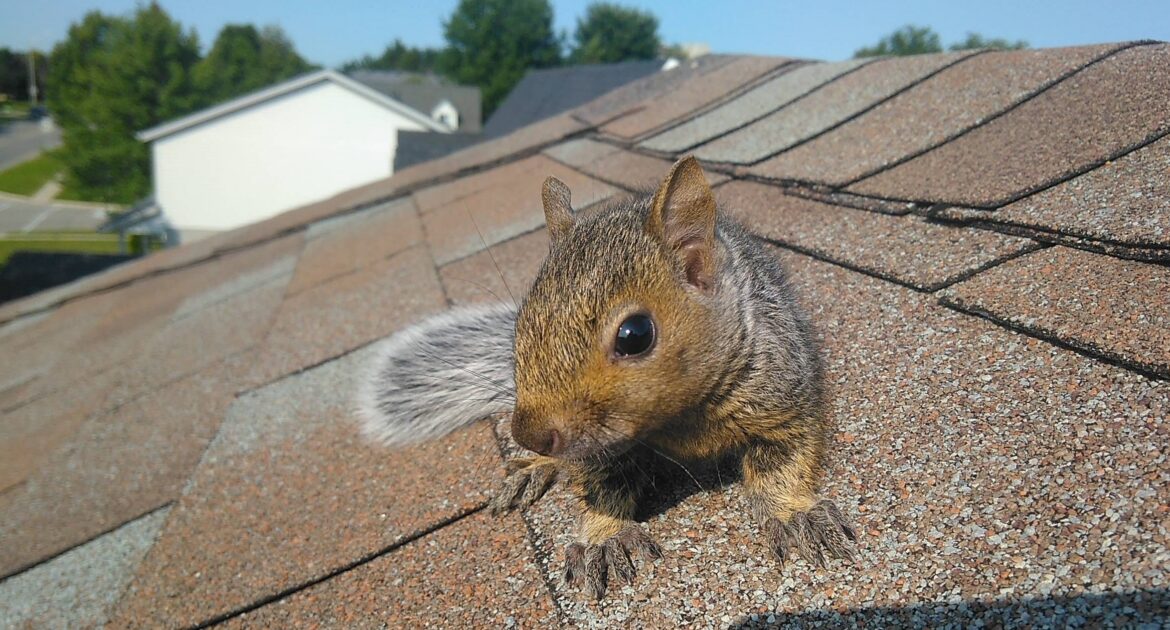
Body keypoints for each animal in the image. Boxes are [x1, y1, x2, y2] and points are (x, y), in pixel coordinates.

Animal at [358, 155, 855, 599]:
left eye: (635, 335)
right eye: (521, 325)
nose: (529, 434)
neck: (680, 416)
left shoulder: (780, 393)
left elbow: (781, 460)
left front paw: (793, 514)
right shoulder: (598, 449)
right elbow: (601, 485)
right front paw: (604, 536)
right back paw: (534, 468)